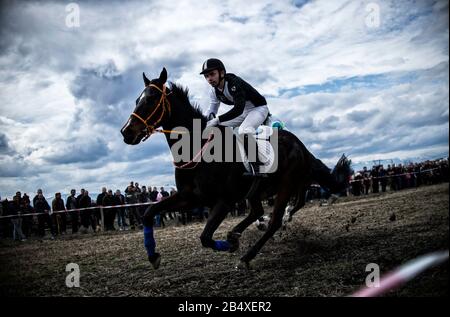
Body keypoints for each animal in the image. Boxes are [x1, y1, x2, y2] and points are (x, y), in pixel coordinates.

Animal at [120, 68, 352, 268]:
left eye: (151, 99)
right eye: (137, 100)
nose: (126, 132)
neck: (196, 149)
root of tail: (301, 146)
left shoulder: (224, 200)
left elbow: (205, 237)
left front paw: (231, 245)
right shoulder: (190, 197)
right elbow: (149, 212)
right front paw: (153, 255)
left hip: (286, 186)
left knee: (275, 221)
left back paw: (247, 255)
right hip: (259, 191)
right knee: (260, 210)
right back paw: (240, 232)